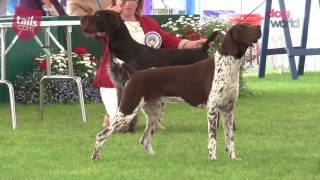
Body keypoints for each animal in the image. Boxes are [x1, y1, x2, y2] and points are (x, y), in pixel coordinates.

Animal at [91, 23, 262, 160]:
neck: (228, 66)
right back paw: (95, 158)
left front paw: (233, 158)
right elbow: (213, 140)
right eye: (243, 27)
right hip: (127, 111)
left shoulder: (228, 110)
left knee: (144, 140)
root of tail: (135, 73)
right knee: (101, 135)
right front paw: (213, 159)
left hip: (155, 113)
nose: (259, 27)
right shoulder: (213, 110)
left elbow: (230, 139)